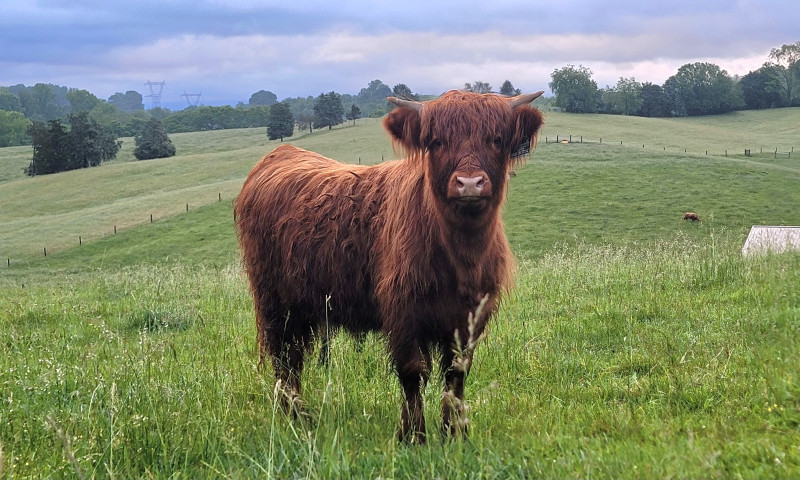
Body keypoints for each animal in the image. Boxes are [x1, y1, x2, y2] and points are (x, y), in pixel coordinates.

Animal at [234, 90, 545, 444]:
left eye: (496, 139)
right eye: (437, 141)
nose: (469, 183)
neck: (461, 257)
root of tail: (281, 152)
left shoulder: (471, 316)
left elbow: (456, 375)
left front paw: (455, 434)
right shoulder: (401, 310)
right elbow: (412, 373)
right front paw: (413, 437)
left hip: (303, 305)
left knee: (295, 356)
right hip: (273, 302)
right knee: (284, 358)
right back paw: (294, 418)